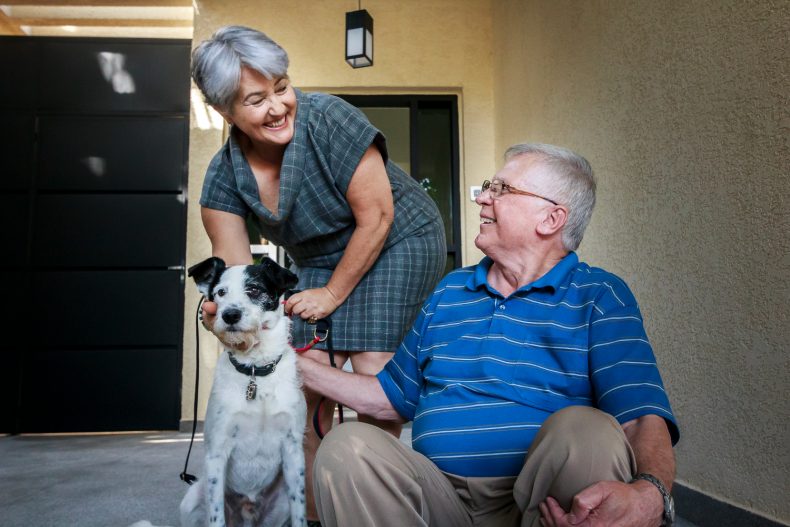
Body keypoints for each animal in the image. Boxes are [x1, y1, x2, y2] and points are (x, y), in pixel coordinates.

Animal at [181, 256, 308, 527]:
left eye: (254, 290)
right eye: (220, 292)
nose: (230, 314)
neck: (255, 370)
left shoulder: (293, 450)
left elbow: (300, 512)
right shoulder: (217, 452)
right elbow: (216, 516)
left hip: (280, 503)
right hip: (193, 498)